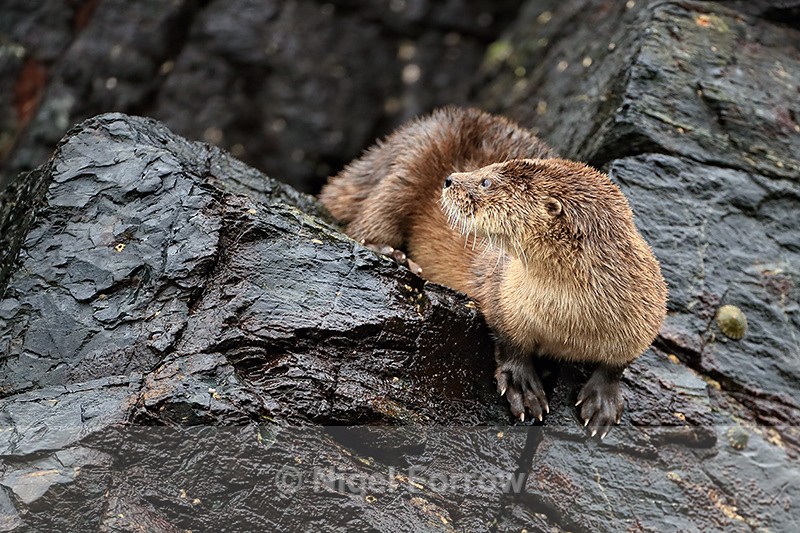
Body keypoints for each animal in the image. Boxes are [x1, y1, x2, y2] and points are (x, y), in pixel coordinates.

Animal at [320, 107, 667, 438]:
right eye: (488, 168)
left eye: (486, 181)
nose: (449, 179)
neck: (568, 320)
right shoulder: (502, 291)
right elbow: (508, 337)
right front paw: (522, 384)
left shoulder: (648, 312)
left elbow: (620, 361)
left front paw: (603, 399)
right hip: (409, 164)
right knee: (369, 219)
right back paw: (393, 254)